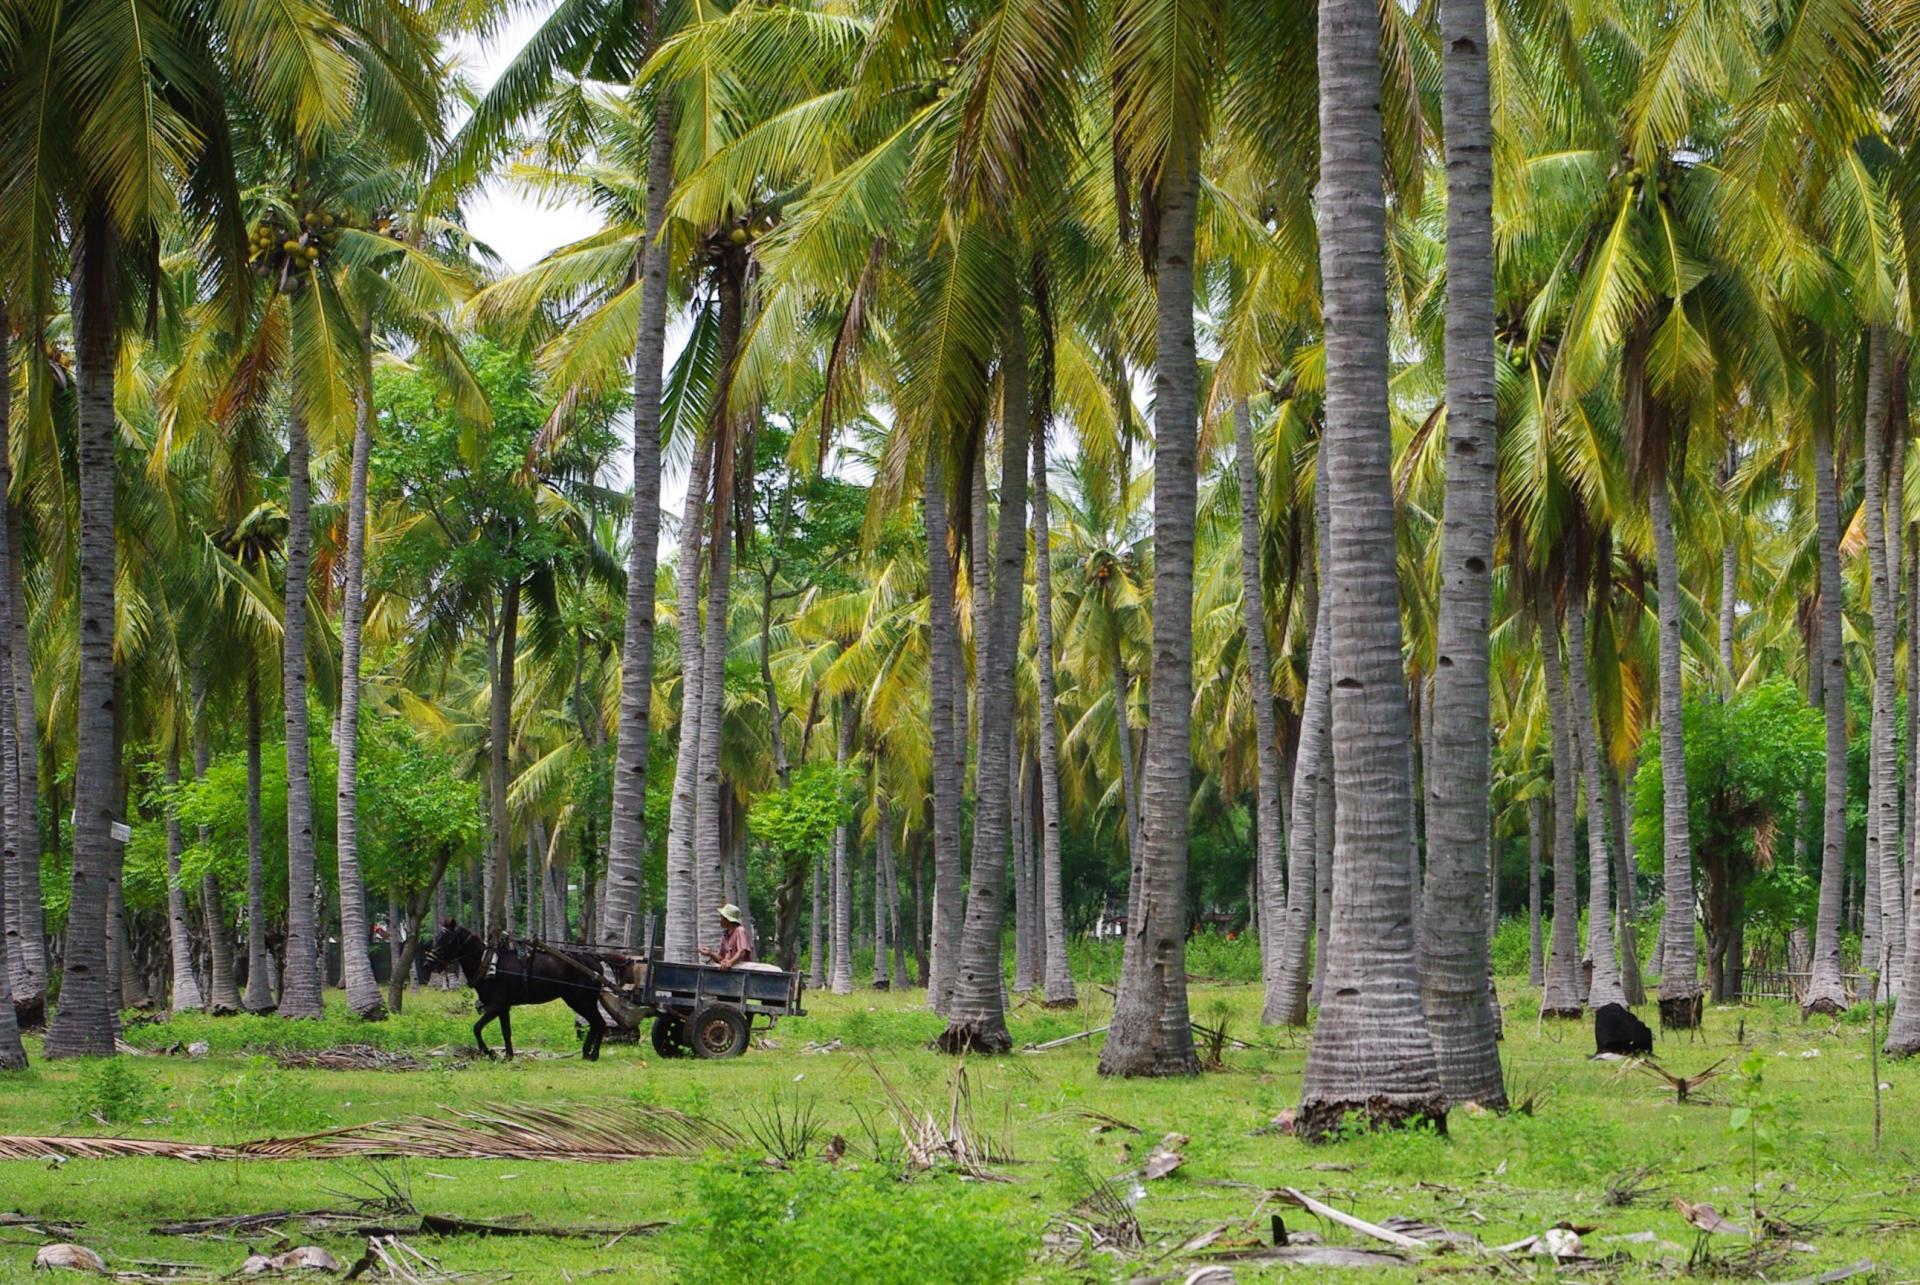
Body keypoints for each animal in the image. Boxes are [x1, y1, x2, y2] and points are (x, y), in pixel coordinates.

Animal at [424, 921, 610, 1060]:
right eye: (437, 938)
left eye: (448, 940)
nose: (428, 964)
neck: (487, 964)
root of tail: (595, 963)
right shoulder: (503, 1008)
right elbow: (506, 1032)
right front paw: (508, 1056)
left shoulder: (496, 1005)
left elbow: (476, 1028)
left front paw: (489, 1052)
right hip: (576, 1000)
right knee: (595, 1023)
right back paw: (586, 1053)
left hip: (583, 1000)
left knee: (599, 1023)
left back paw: (593, 1054)